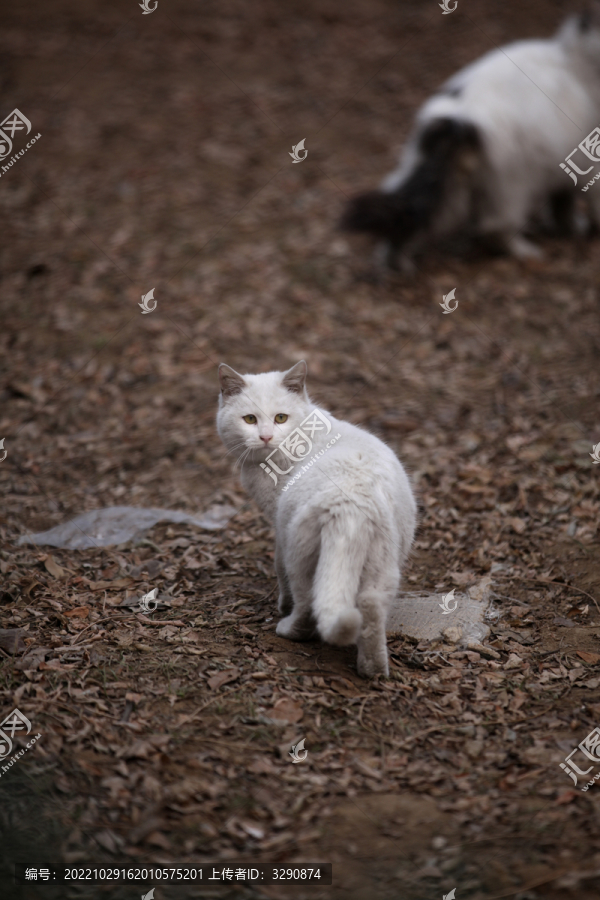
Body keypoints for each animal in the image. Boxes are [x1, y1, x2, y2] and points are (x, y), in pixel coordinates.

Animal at [217, 358, 418, 676]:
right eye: (249, 419)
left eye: (281, 418)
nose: (265, 437)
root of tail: (350, 504)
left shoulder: (279, 525)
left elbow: (277, 566)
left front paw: (281, 604)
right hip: (384, 563)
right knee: (370, 607)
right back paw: (372, 669)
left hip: (301, 554)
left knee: (308, 606)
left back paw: (288, 628)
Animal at [344, 7, 600, 268]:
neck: (576, 58)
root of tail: (458, 117)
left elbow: (563, 204)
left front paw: (570, 228)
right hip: (511, 184)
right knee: (496, 228)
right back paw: (526, 252)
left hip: (445, 182)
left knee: (409, 213)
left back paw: (395, 262)